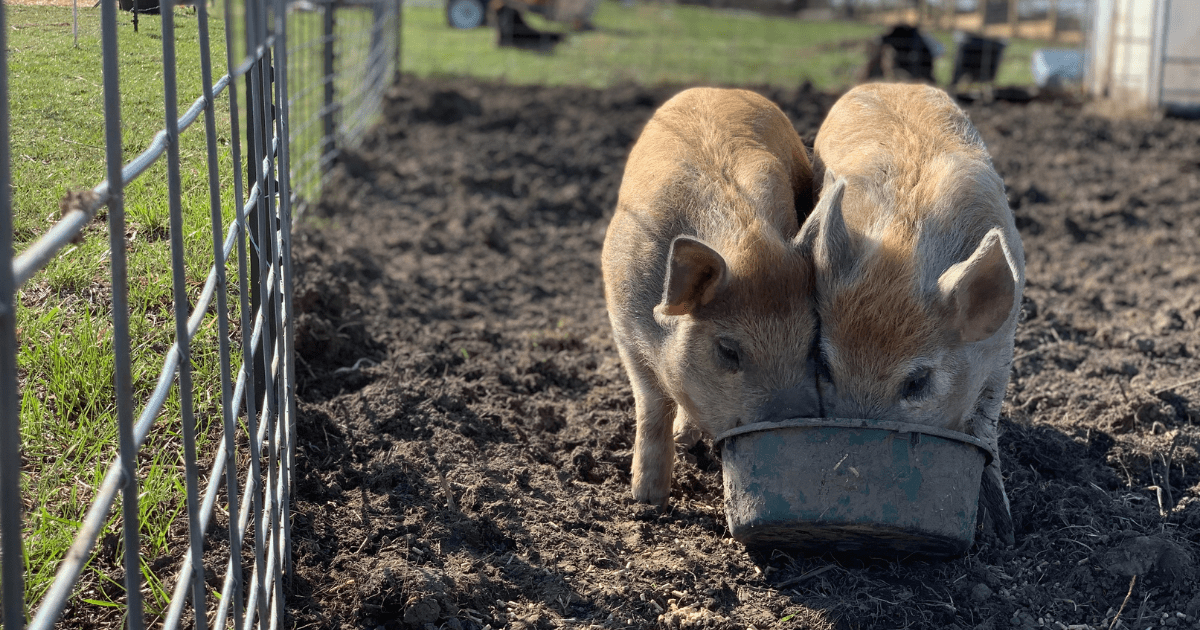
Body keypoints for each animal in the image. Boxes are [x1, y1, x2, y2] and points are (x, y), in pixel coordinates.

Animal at [602, 87, 821, 508]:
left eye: (809, 345)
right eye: (728, 350)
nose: (794, 417)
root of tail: (718, 88)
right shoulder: (622, 326)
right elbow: (652, 407)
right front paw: (646, 502)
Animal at [799, 83, 1024, 545]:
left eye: (918, 382)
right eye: (824, 365)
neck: (905, 247)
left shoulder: (1002, 355)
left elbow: (986, 434)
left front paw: (1005, 537)